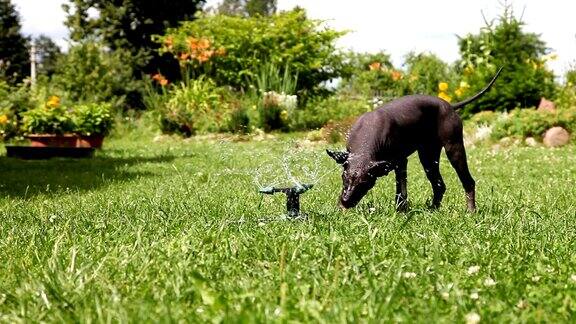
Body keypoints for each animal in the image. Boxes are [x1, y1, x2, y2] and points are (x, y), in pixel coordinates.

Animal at [326, 67, 502, 211]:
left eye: (364, 182)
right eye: (343, 177)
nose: (346, 201)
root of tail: (450, 105)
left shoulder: (400, 162)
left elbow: (401, 190)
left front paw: (401, 211)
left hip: (454, 149)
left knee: (468, 181)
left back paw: (470, 211)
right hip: (428, 157)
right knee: (439, 185)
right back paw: (432, 210)